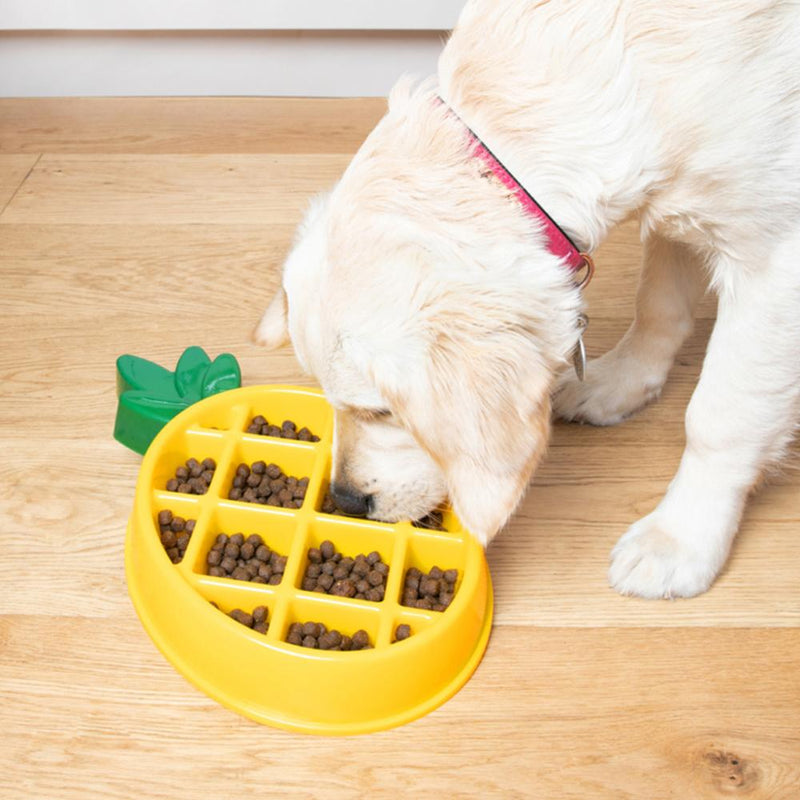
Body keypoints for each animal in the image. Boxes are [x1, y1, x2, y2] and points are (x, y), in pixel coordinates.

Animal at [255, 0, 800, 596]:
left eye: (382, 410)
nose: (347, 501)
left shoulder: (774, 258)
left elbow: (720, 416)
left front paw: (682, 536)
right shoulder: (680, 204)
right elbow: (659, 307)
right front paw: (620, 382)